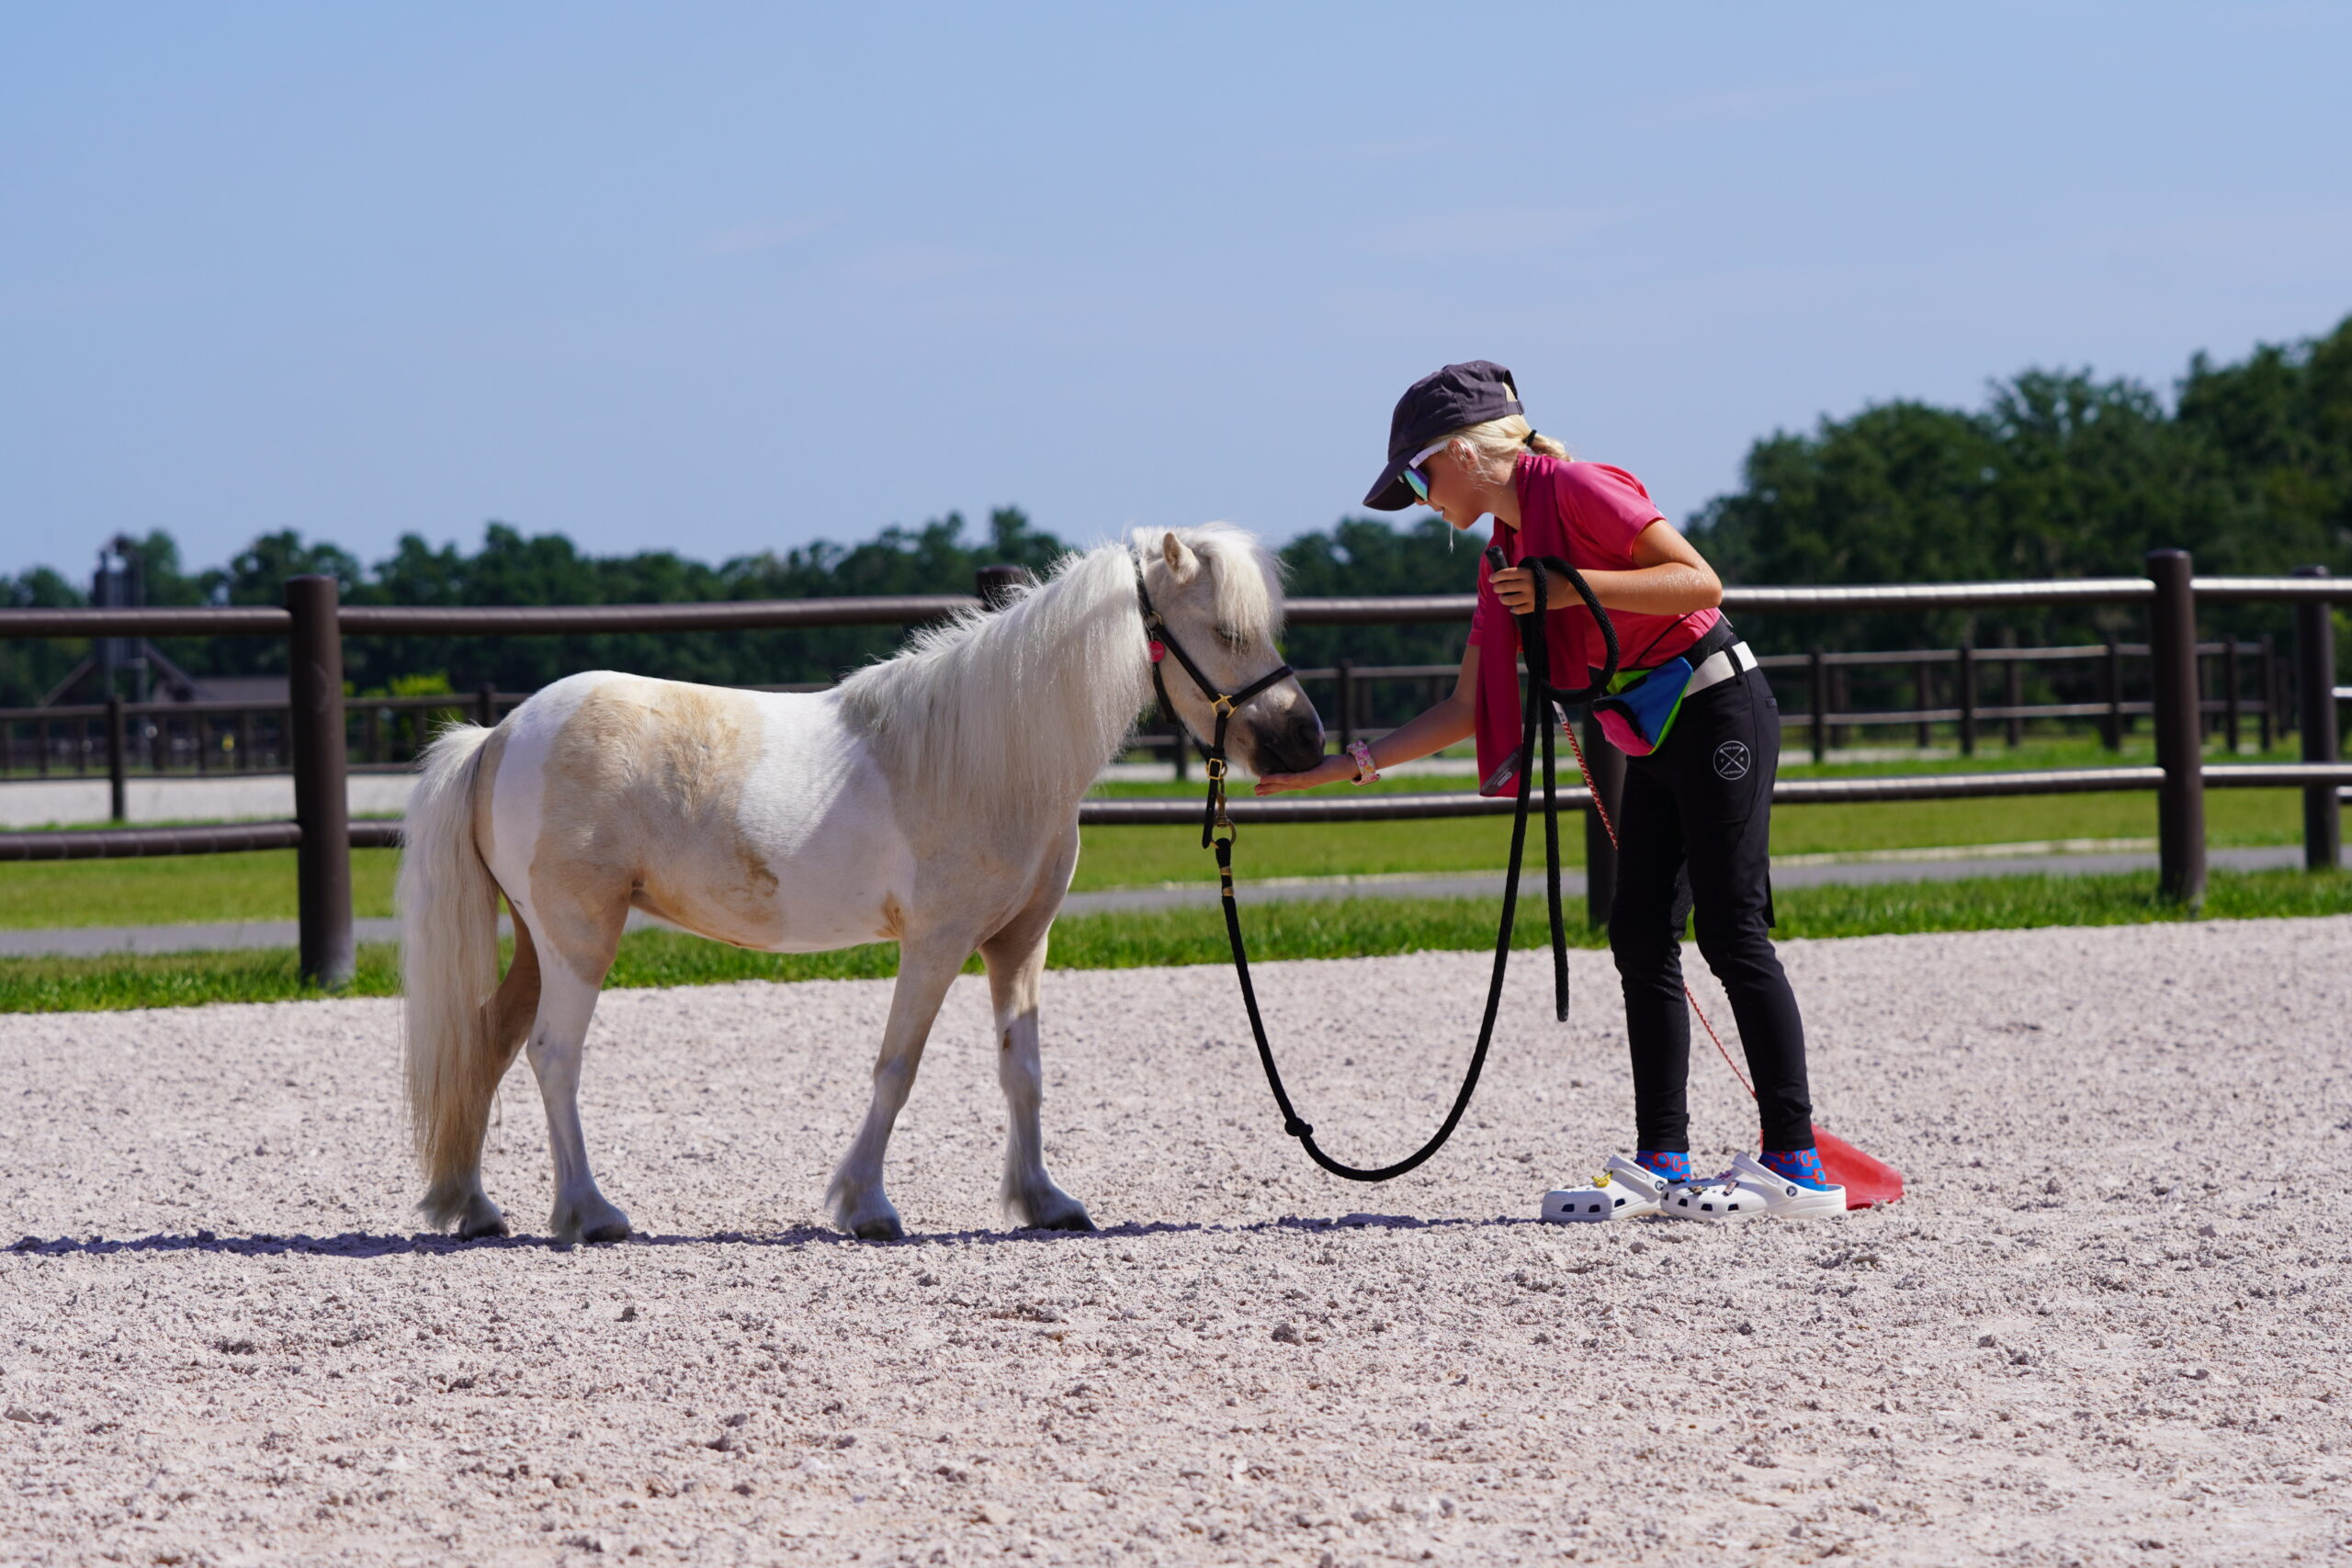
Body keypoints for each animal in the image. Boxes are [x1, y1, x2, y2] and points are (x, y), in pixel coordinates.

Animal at [397, 525, 1324, 1244]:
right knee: (554, 1054)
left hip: (536, 941)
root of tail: (499, 734)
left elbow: (1021, 1069)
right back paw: (590, 1213)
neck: (992, 756)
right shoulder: (937, 942)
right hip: (579, 938)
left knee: (488, 1043)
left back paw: (474, 1207)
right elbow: (897, 1067)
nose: (1306, 740)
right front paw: (867, 1205)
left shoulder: (1020, 943)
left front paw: (1044, 1201)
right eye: (1227, 631)